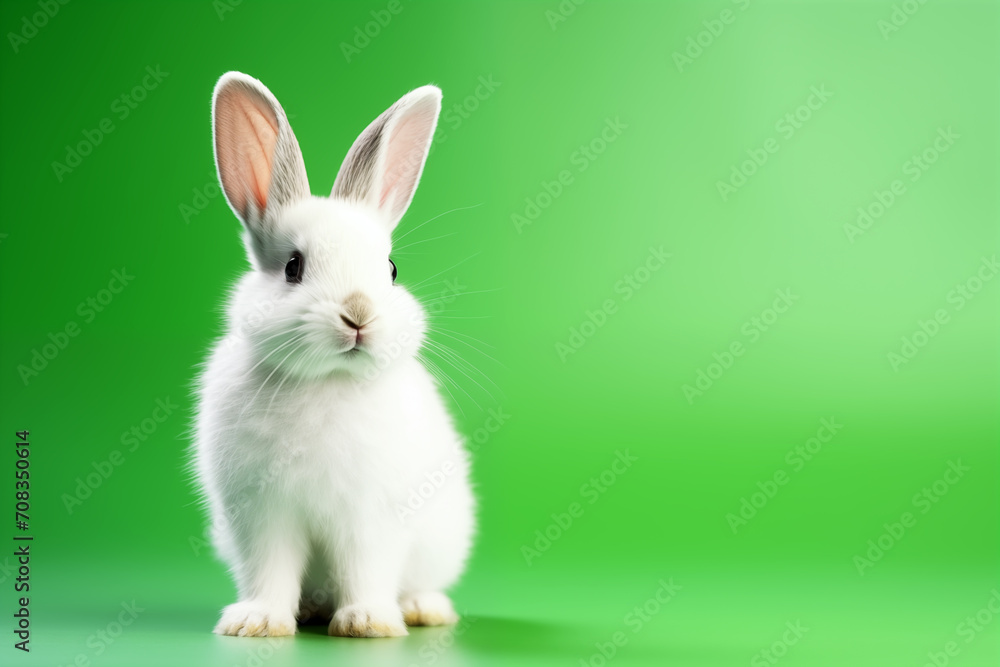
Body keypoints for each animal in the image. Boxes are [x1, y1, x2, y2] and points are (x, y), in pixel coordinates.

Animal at [191, 71, 475, 638]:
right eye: (293, 267)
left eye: (390, 268)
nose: (358, 313)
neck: (327, 382)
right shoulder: (262, 516)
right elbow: (270, 569)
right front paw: (258, 622)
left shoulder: (372, 517)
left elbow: (366, 568)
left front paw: (368, 622)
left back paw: (423, 609)